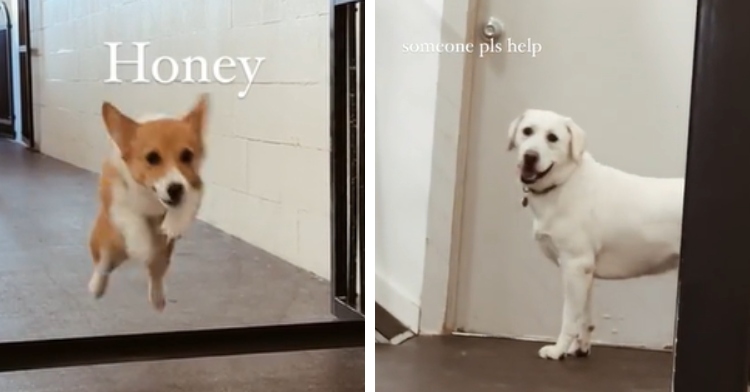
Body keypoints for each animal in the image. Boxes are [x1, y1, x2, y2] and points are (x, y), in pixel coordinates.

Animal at [512, 108, 688, 360]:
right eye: (527, 131)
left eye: (552, 138)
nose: (530, 156)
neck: (566, 181)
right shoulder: (586, 271)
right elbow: (584, 317)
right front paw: (579, 348)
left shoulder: (575, 265)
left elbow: (569, 317)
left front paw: (558, 350)